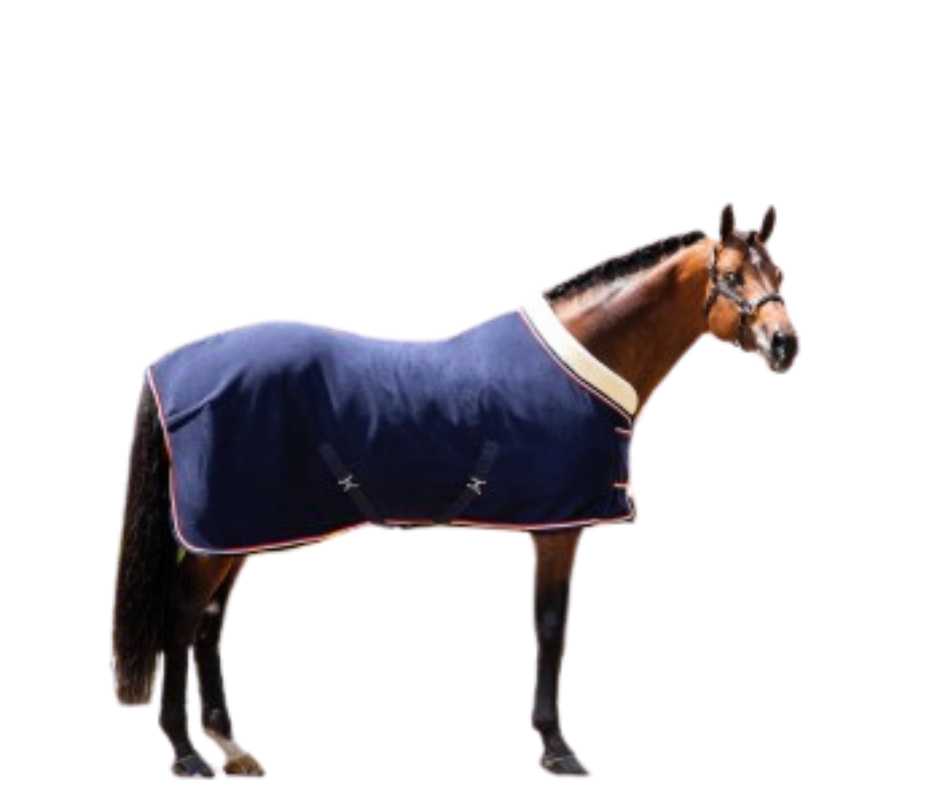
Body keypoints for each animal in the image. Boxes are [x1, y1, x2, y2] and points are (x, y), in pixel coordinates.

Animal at [112, 204, 798, 777]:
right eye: (732, 276)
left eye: (778, 271)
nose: (784, 345)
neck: (583, 362)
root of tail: (169, 368)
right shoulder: (558, 528)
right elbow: (551, 629)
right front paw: (556, 747)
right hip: (216, 537)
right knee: (181, 618)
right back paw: (185, 752)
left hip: (239, 531)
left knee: (208, 623)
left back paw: (231, 747)